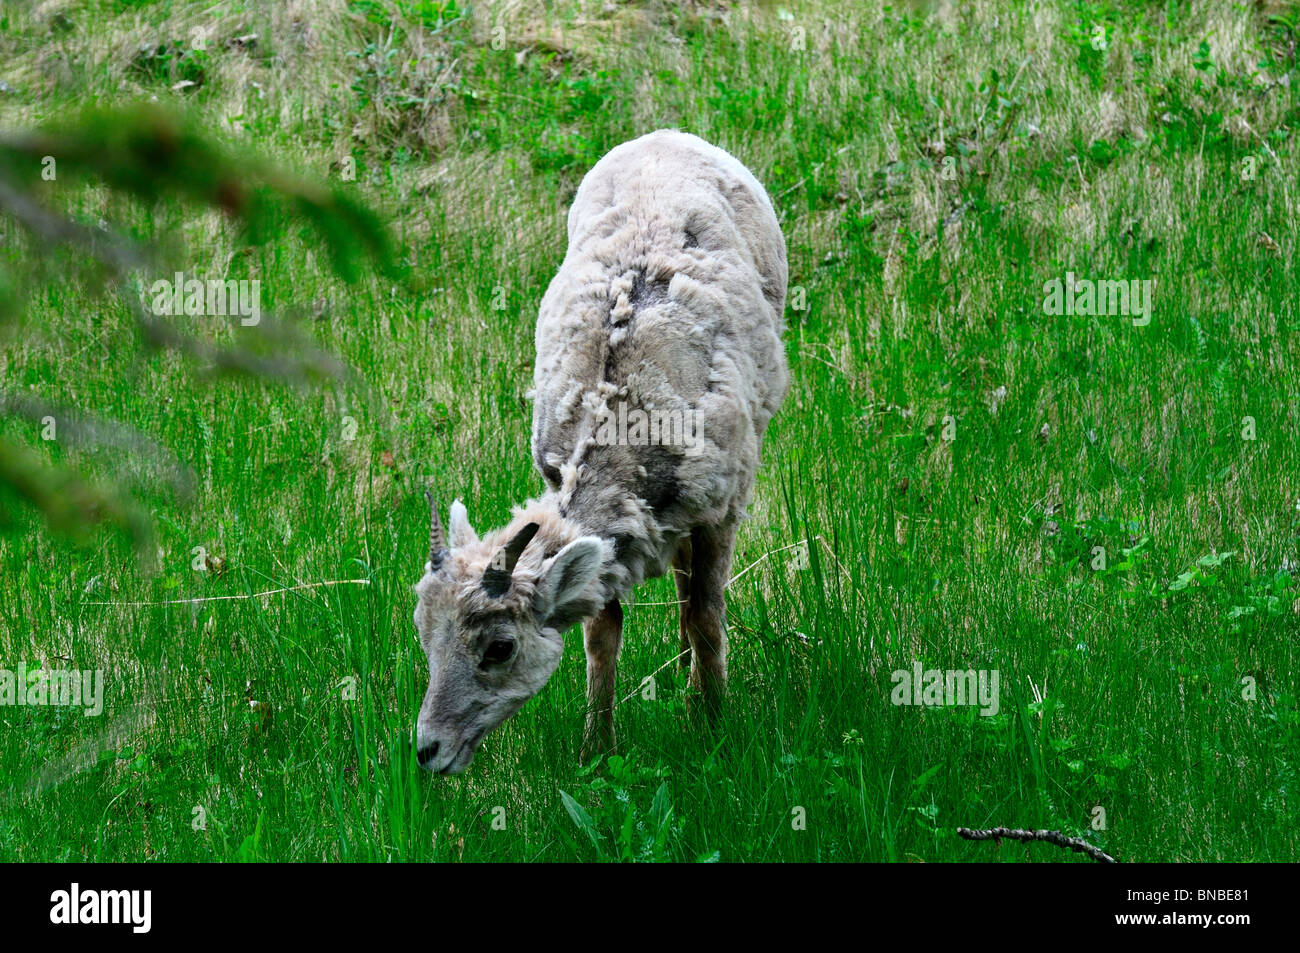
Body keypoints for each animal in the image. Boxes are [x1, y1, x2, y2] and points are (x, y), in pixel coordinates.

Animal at [410, 128, 785, 774]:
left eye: (499, 647)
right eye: (423, 631)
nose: (428, 750)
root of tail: (667, 136)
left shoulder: (722, 512)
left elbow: (708, 617)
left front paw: (710, 727)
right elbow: (602, 634)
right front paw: (597, 751)